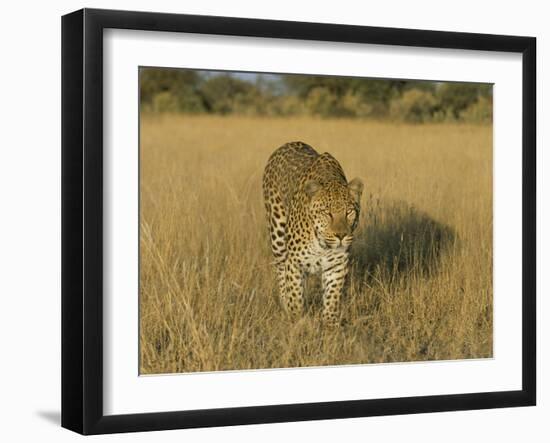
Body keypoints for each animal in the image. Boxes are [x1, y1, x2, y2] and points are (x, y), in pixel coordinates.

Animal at [264, 140, 364, 328]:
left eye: (349, 212)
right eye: (327, 213)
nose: (341, 236)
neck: (321, 243)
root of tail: (289, 143)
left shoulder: (337, 264)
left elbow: (332, 297)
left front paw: (330, 325)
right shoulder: (295, 263)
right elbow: (295, 296)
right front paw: (296, 321)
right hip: (278, 236)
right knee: (280, 271)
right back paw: (284, 304)